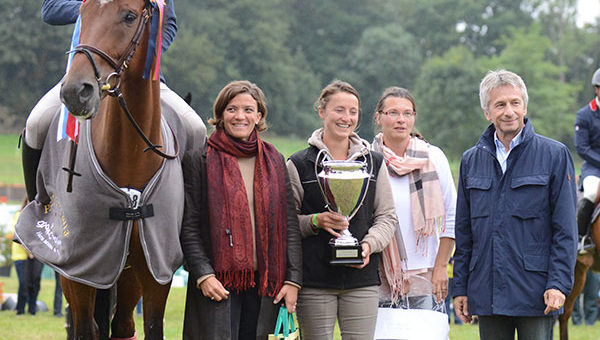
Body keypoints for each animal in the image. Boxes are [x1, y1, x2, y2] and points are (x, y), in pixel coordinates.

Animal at [59, 0, 173, 340]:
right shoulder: (78, 271)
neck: (129, 157)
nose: (76, 91)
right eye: (81, 14)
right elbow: (85, 328)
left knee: (122, 325)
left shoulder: (154, 270)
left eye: (129, 16)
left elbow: (150, 326)